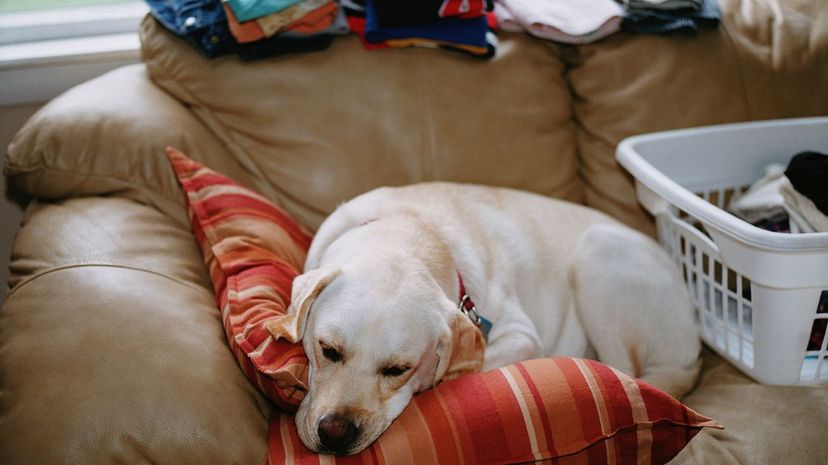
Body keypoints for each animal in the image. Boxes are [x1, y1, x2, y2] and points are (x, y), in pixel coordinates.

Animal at [266, 181, 700, 454]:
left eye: (398, 370)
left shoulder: (521, 335)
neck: (414, 230)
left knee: (624, 369)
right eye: (327, 349)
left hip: (599, 251)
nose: (335, 434)